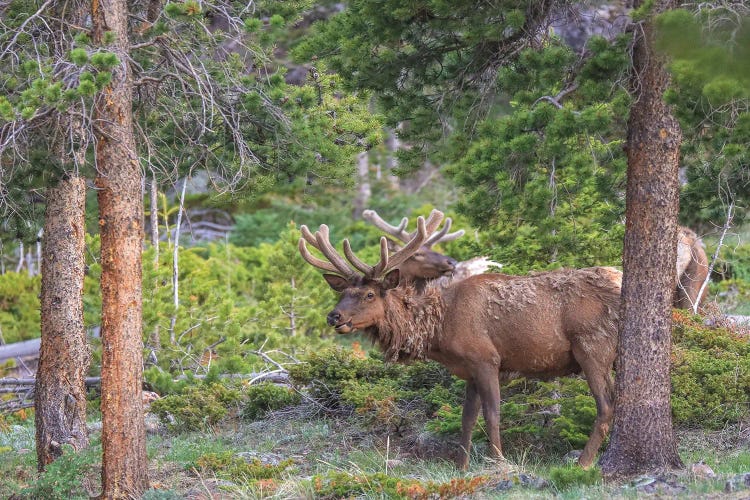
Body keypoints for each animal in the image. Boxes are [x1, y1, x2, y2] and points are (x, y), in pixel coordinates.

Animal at [300, 210, 624, 468]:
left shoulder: (487, 360)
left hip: (592, 347)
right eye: (343, 293)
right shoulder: (469, 370)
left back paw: (583, 464)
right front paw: (462, 466)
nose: (334, 317)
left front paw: (500, 463)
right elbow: (467, 419)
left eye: (369, 294)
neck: (440, 330)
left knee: (606, 405)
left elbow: (492, 415)